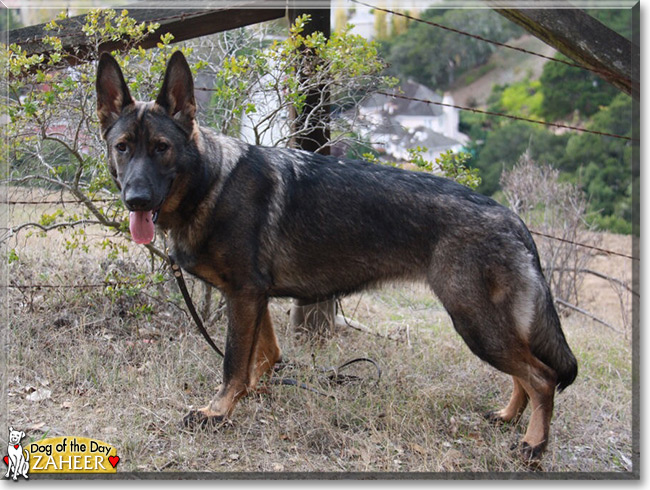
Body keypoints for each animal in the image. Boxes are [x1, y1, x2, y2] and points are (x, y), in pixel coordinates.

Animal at [95, 50, 572, 460]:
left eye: (161, 147)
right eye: (123, 147)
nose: (136, 200)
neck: (210, 180)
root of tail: (511, 217)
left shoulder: (244, 296)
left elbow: (233, 362)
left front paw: (218, 411)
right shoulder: (253, 298)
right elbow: (263, 357)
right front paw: (254, 395)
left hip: (474, 322)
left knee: (543, 377)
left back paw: (534, 444)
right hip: (489, 325)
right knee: (525, 374)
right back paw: (509, 417)